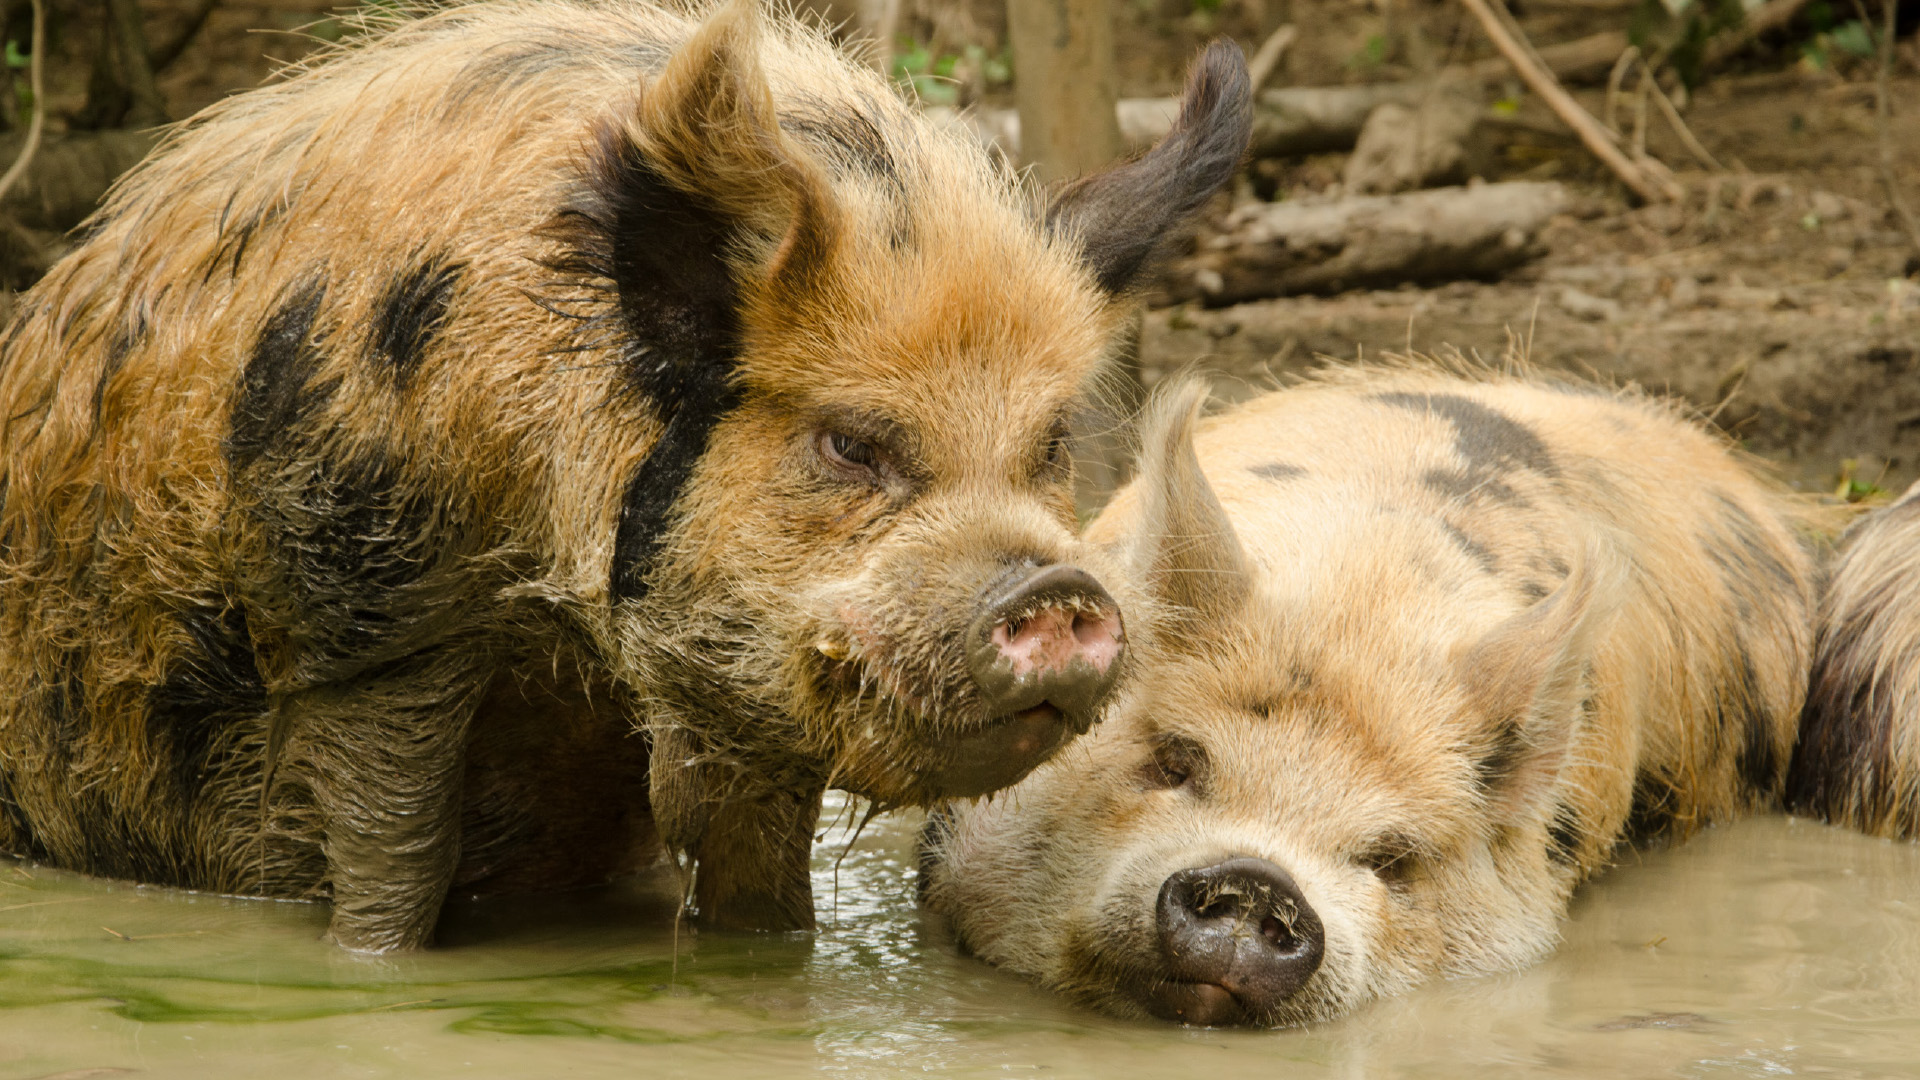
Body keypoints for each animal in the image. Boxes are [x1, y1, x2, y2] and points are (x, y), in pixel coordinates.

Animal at [0, 0, 1259, 945]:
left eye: (1048, 445)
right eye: (850, 442)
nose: (1063, 590)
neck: (568, 647)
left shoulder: (744, 713)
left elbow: (762, 902)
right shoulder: (357, 616)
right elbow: (390, 869)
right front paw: (376, 961)